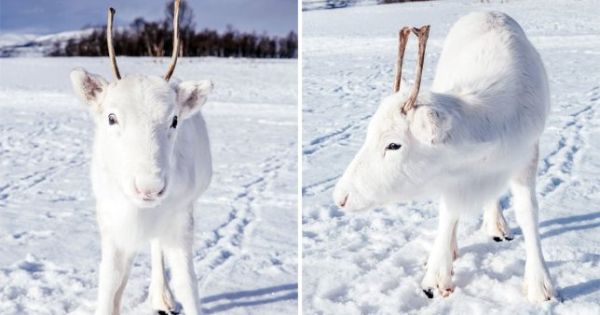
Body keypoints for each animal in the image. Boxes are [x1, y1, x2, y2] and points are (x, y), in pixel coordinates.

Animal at [70, 1, 212, 314]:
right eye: (111, 117)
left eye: (174, 119)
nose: (150, 187)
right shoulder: (111, 224)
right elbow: (108, 286)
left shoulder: (180, 219)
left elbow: (188, 284)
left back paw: (162, 296)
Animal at [336, 11, 556, 304]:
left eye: (394, 145)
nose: (341, 197)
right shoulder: (452, 176)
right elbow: (449, 212)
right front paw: (437, 277)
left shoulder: (527, 153)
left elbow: (528, 211)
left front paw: (540, 285)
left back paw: (497, 227)